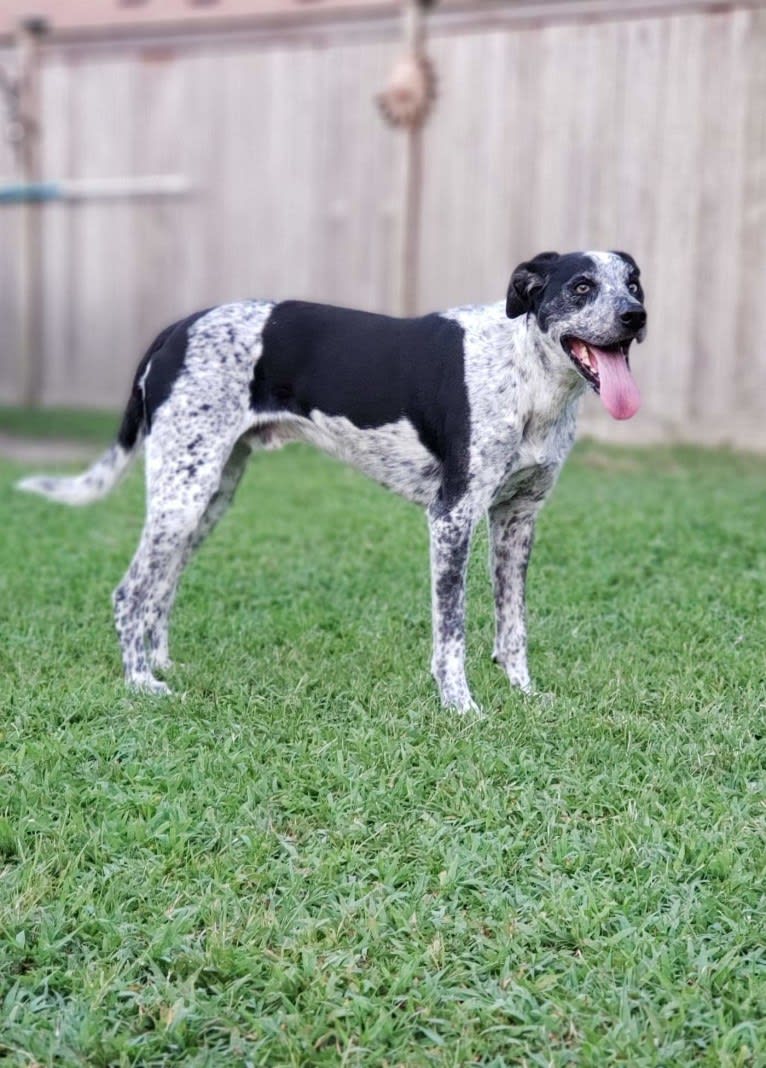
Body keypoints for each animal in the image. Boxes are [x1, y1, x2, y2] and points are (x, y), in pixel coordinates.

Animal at [19, 249, 645, 709]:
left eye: (634, 283)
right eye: (581, 286)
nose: (635, 316)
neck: (526, 376)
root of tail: (178, 327)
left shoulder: (518, 520)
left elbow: (512, 628)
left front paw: (525, 695)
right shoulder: (452, 516)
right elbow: (453, 633)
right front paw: (460, 706)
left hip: (207, 496)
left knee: (160, 590)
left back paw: (159, 665)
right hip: (182, 494)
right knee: (131, 593)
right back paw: (141, 683)